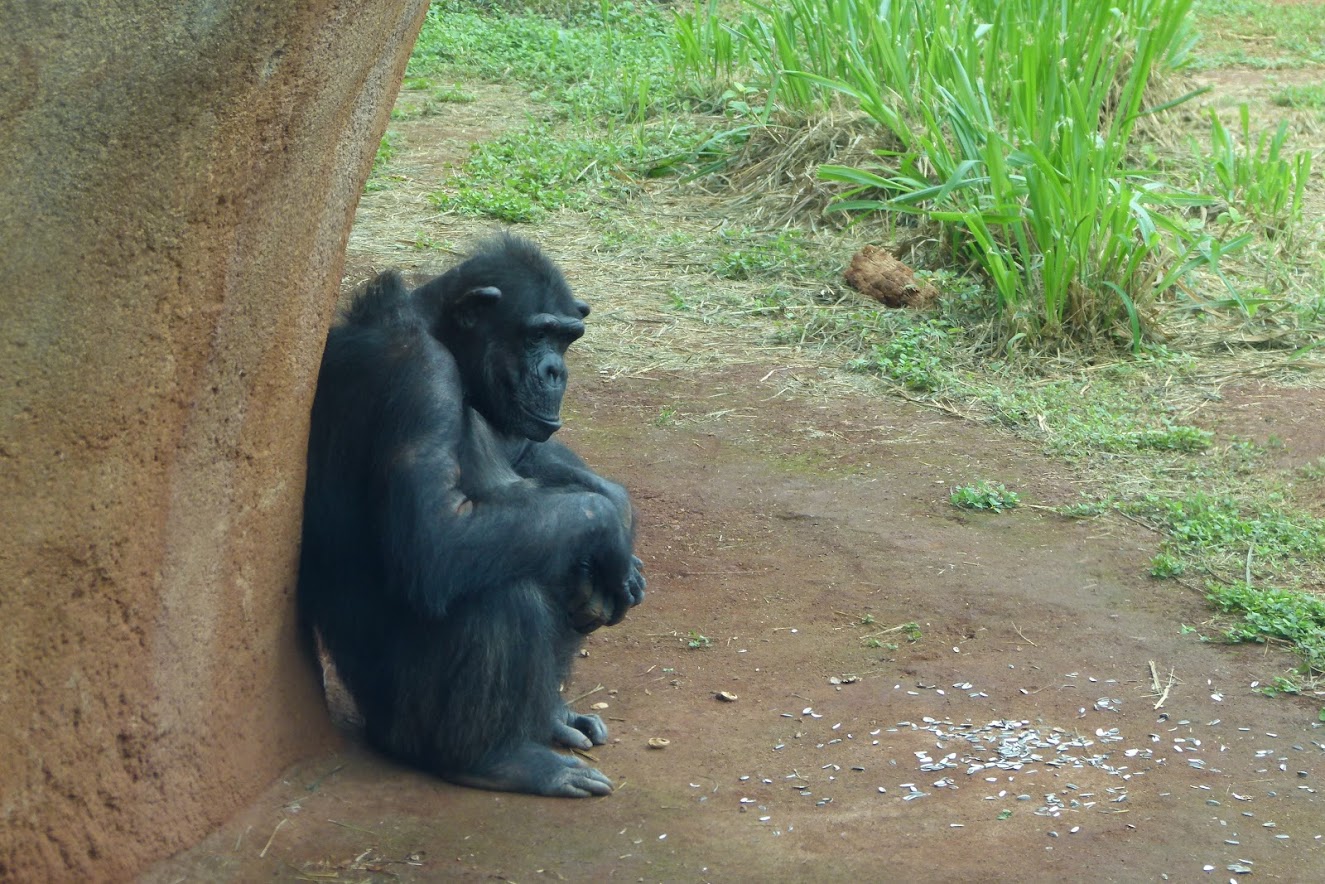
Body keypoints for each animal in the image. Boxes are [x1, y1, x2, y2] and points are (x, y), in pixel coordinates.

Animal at [302, 231, 651, 800]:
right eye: (537, 335)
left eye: (568, 339)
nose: (556, 370)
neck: (439, 333)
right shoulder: (421, 377)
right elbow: (436, 534)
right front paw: (610, 524)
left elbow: (526, 454)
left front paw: (616, 506)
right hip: (403, 719)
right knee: (501, 593)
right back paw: (500, 760)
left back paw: (551, 717)